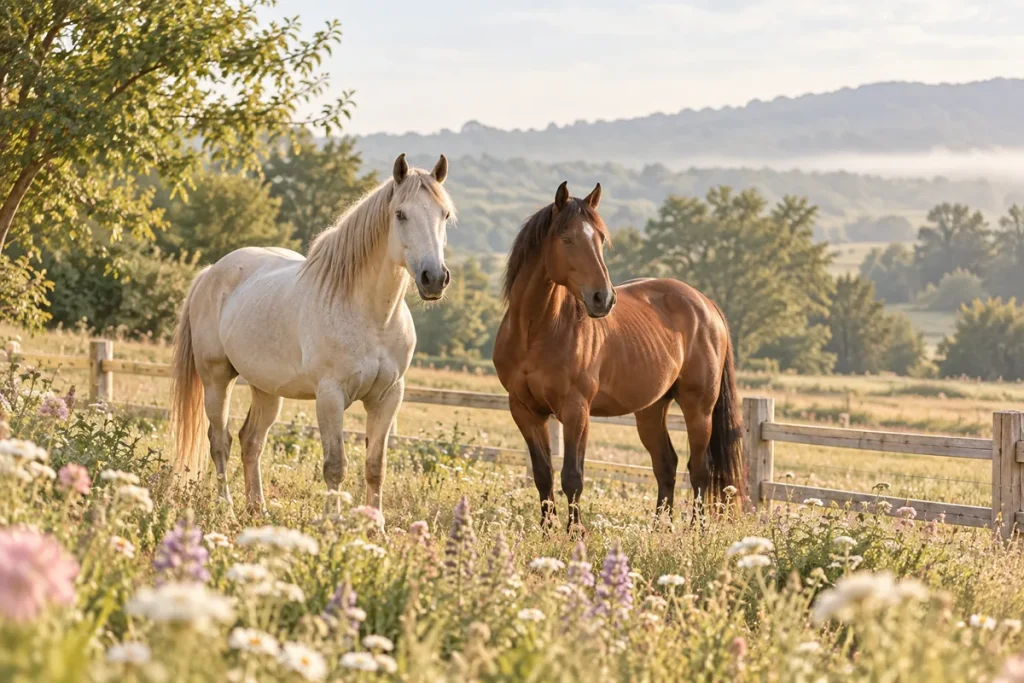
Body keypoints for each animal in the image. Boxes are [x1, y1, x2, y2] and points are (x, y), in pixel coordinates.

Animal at [170, 153, 456, 518]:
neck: (372, 317)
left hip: (266, 389)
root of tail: (210, 272)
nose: (434, 278)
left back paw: (258, 509)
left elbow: (375, 466)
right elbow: (335, 466)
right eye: (400, 214)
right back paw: (228, 508)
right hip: (217, 380)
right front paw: (333, 521)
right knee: (220, 441)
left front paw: (375, 525)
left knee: (251, 441)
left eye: (444, 214)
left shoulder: (388, 396)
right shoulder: (330, 395)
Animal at [492, 181, 744, 532]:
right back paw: (660, 529)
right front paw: (546, 530)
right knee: (666, 464)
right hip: (651, 409)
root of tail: (706, 304)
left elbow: (573, 476)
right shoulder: (524, 410)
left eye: (600, 238)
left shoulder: (576, 411)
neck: (536, 330)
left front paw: (574, 532)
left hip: (699, 409)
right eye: (566, 238)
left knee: (700, 468)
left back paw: (697, 530)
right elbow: (543, 473)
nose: (603, 298)